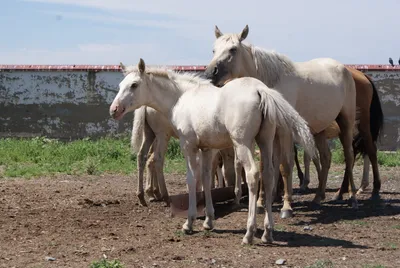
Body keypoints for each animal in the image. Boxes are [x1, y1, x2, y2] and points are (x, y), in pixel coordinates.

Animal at [109, 58, 316, 245]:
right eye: (120, 85)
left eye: (134, 85)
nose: (114, 109)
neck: (181, 98)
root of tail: (260, 90)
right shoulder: (207, 149)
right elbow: (207, 179)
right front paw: (208, 221)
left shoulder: (189, 145)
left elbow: (192, 179)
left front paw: (189, 222)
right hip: (265, 141)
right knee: (269, 175)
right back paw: (267, 232)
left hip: (242, 143)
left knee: (252, 174)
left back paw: (249, 233)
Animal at [205, 24, 358, 218]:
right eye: (213, 49)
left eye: (233, 49)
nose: (210, 74)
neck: (271, 85)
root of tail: (344, 69)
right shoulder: (269, 133)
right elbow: (266, 165)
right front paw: (262, 203)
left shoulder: (285, 131)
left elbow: (285, 165)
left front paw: (287, 207)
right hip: (319, 131)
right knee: (325, 158)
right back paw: (318, 197)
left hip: (346, 122)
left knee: (349, 156)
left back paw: (352, 197)